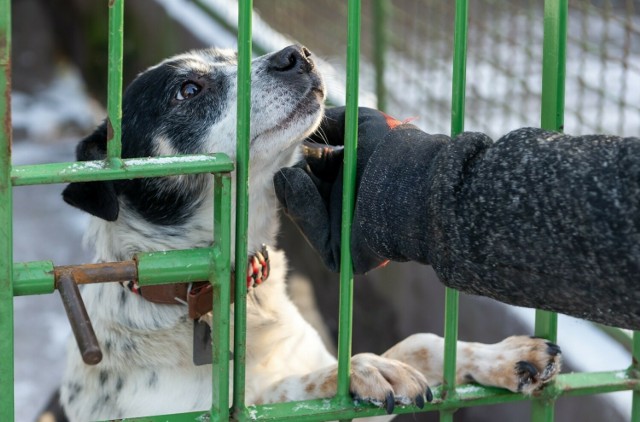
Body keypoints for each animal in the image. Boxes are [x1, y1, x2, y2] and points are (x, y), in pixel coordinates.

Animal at [58, 44, 560, 420]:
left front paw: (500, 357)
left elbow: (419, 342)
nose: (295, 54)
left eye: (239, 54)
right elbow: (283, 393)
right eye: (188, 89)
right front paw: (366, 369)